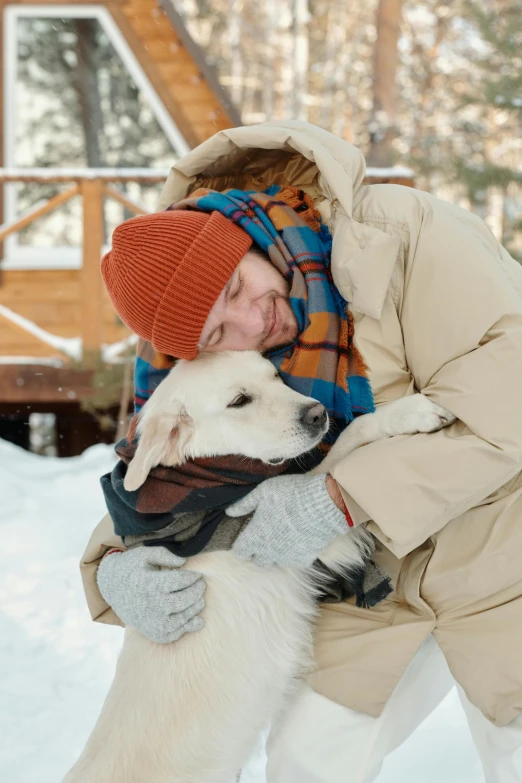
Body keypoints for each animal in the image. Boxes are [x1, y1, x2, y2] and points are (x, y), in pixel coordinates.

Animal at [63, 350, 452, 783]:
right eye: (239, 401)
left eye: (275, 375)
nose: (317, 413)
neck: (208, 491)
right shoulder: (313, 541)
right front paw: (409, 413)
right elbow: (349, 438)